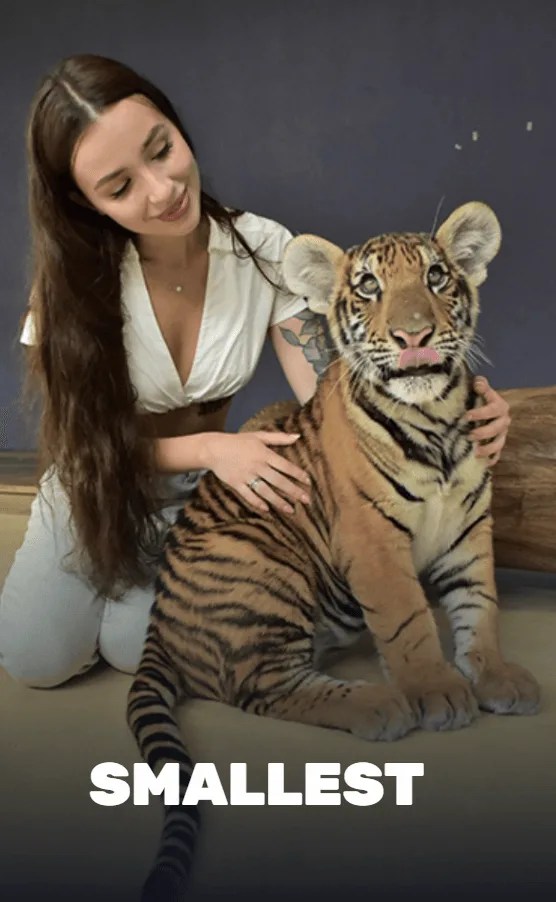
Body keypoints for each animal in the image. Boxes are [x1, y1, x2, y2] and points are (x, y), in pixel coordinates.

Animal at [126, 201, 540, 901]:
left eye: (435, 276)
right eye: (369, 286)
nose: (412, 336)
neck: (437, 425)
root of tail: (157, 625)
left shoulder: (469, 528)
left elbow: (479, 608)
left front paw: (495, 674)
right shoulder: (373, 540)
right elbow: (408, 622)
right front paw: (438, 690)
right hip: (265, 567)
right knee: (261, 688)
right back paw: (379, 704)